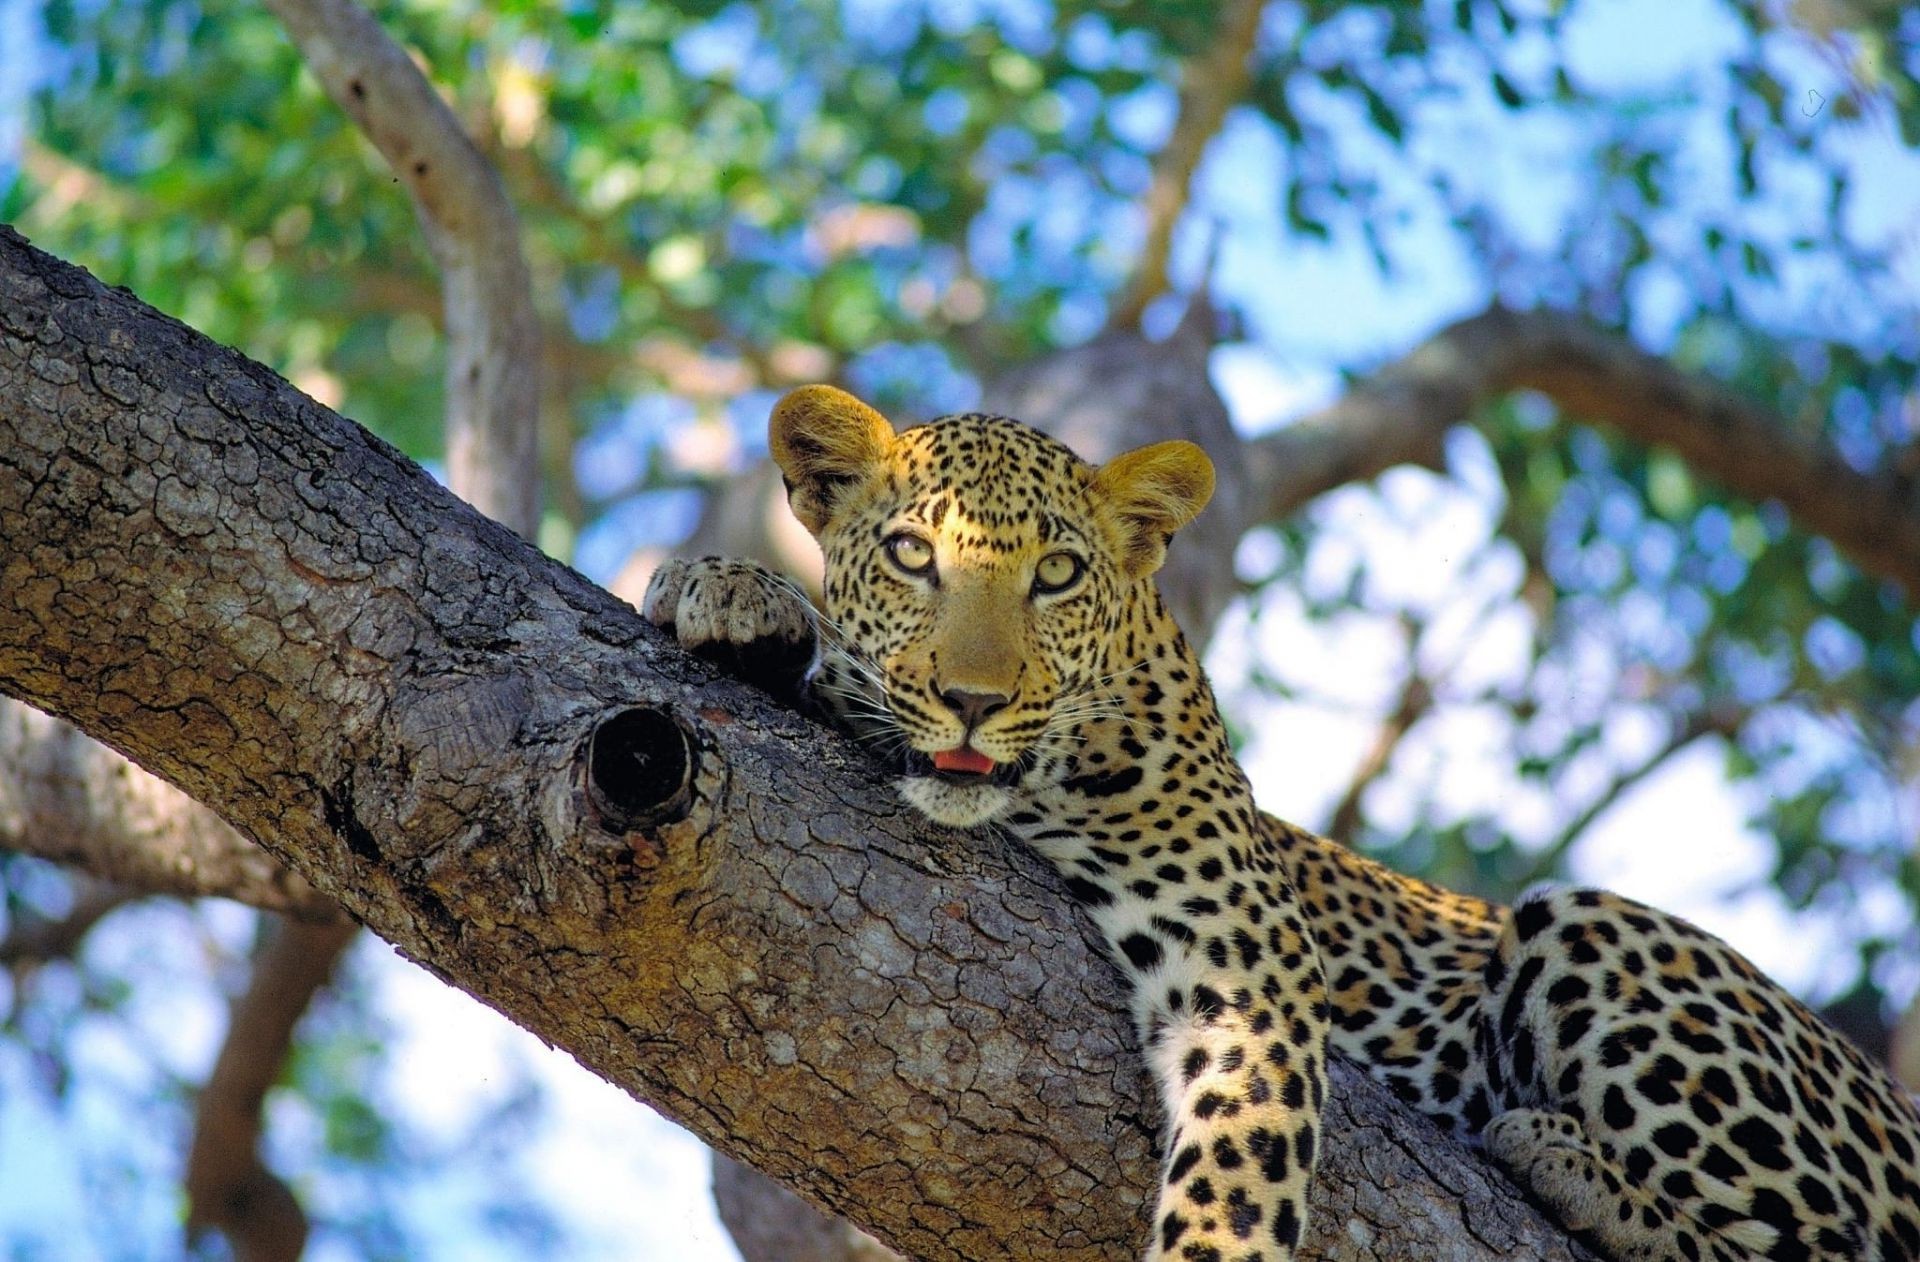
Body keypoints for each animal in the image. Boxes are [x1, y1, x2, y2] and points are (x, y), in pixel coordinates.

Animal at [645, 386, 1920, 1260]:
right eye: (912, 555)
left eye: (1056, 575)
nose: (974, 697)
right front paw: (727, 588)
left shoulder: (1244, 962)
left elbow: (1237, 1174)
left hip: (1593, 921)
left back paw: (1564, 1157)